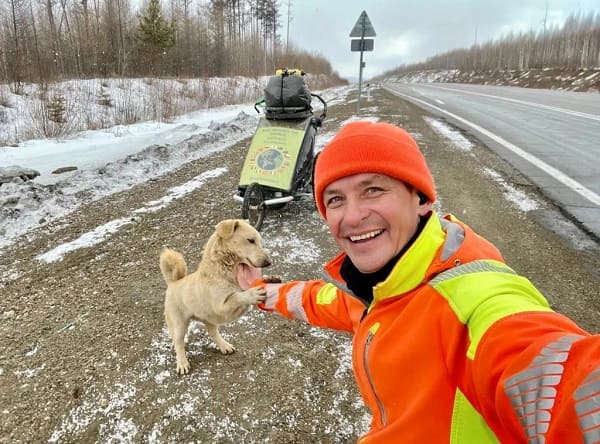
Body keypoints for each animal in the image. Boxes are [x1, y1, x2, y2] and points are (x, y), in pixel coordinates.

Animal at [159, 219, 272, 374]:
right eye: (250, 240)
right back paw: (182, 363)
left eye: (261, 242)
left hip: (209, 319)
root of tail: (173, 282)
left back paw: (224, 346)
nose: (268, 262)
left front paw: (270, 279)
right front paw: (252, 294)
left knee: (213, 333)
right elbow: (237, 296)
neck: (225, 272)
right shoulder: (222, 307)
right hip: (179, 324)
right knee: (178, 343)